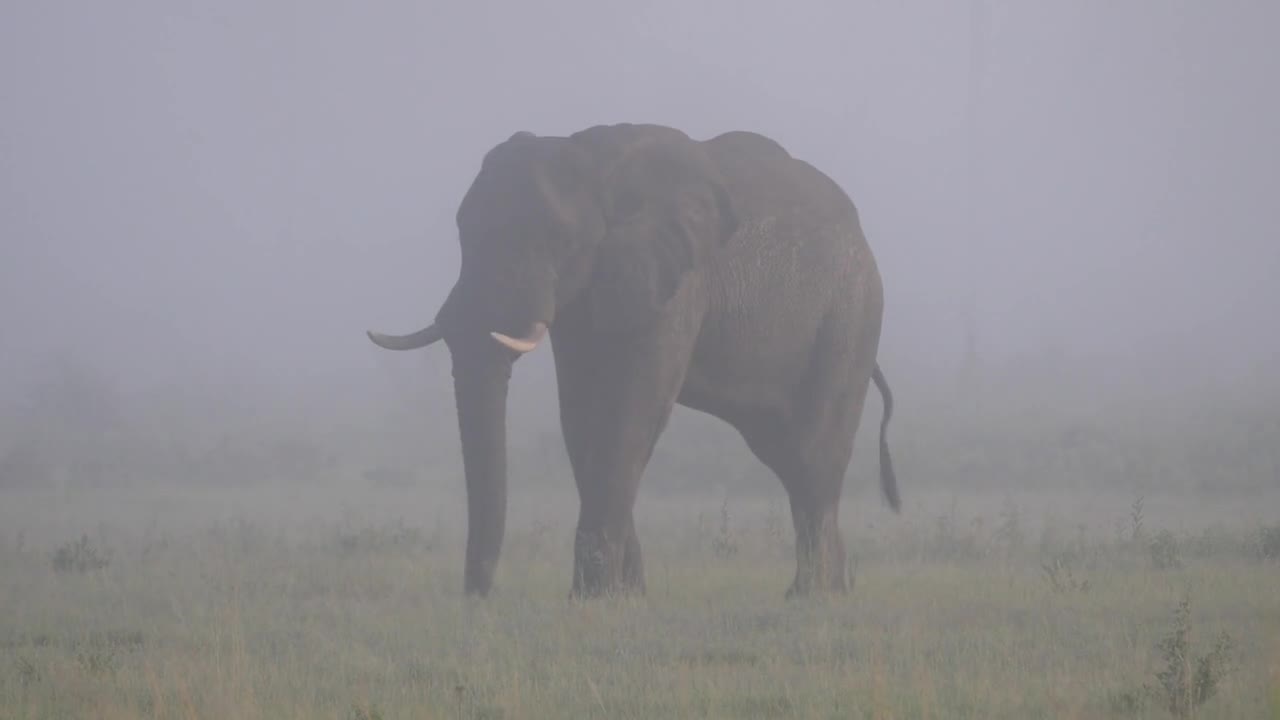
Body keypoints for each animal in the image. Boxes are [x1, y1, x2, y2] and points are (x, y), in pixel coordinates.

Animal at [368, 124, 901, 599]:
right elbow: (580, 413)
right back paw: (834, 589)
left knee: (812, 456)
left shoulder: (677, 279)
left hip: (850, 318)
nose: (479, 597)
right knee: (786, 455)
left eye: (558, 241)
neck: (592, 156)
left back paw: (810, 596)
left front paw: (595, 597)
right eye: (462, 232)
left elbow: (632, 408)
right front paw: (623, 595)